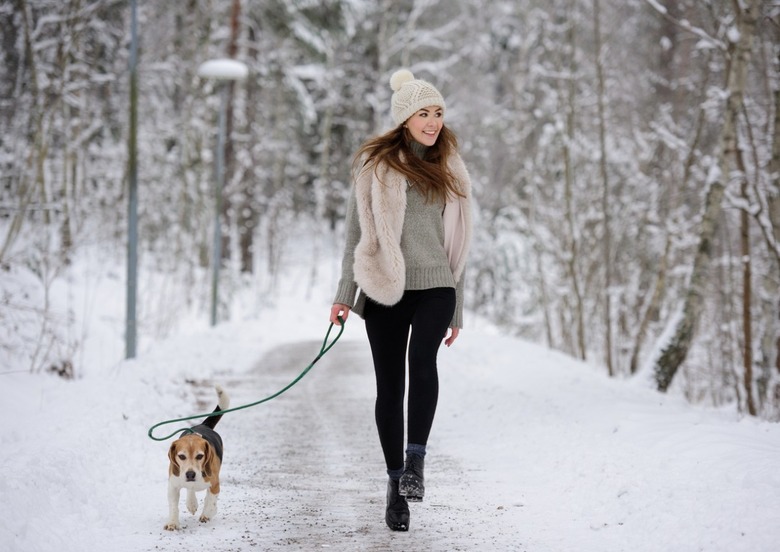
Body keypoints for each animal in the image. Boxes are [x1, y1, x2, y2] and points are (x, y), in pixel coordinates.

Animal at [162, 384, 229, 532]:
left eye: (200, 456)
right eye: (181, 456)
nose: (190, 474)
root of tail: (203, 425)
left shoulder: (215, 484)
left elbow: (211, 501)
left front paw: (208, 513)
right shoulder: (173, 486)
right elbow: (174, 506)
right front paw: (173, 522)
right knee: (190, 490)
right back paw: (191, 503)